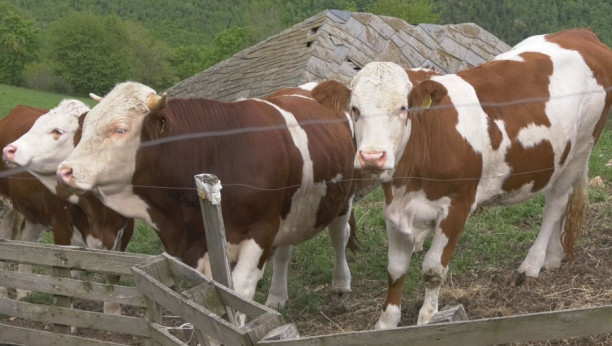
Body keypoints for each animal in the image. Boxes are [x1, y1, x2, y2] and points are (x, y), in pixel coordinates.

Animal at [0, 101, 134, 314]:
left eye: (58, 131)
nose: (9, 150)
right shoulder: (62, 229)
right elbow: (68, 282)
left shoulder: (124, 234)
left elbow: (113, 282)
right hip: (4, 205)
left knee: (27, 241)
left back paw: (24, 293)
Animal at [56, 81, 358, 314]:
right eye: (86, 127)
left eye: (120, 129)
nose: (64, 171)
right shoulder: (199, 242)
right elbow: (213, 296)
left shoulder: (261, 228)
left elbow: (240, 293)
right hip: (293, 208)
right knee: (284, 251)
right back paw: (277, 297)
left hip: (343, 200)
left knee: (338, 237)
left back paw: (341, 285)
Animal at [316, 29, 612, 328]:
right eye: (354, 109)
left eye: (402, 108)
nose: (372, 157)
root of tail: (580, 34)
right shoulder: (395, 209)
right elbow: (396, 270)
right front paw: (386, 323)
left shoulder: (457, 207)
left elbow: (433, 269)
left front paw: (427, 318)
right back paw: (552, 257)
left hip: (582, 146)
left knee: (555, 203)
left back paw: (532, 263)